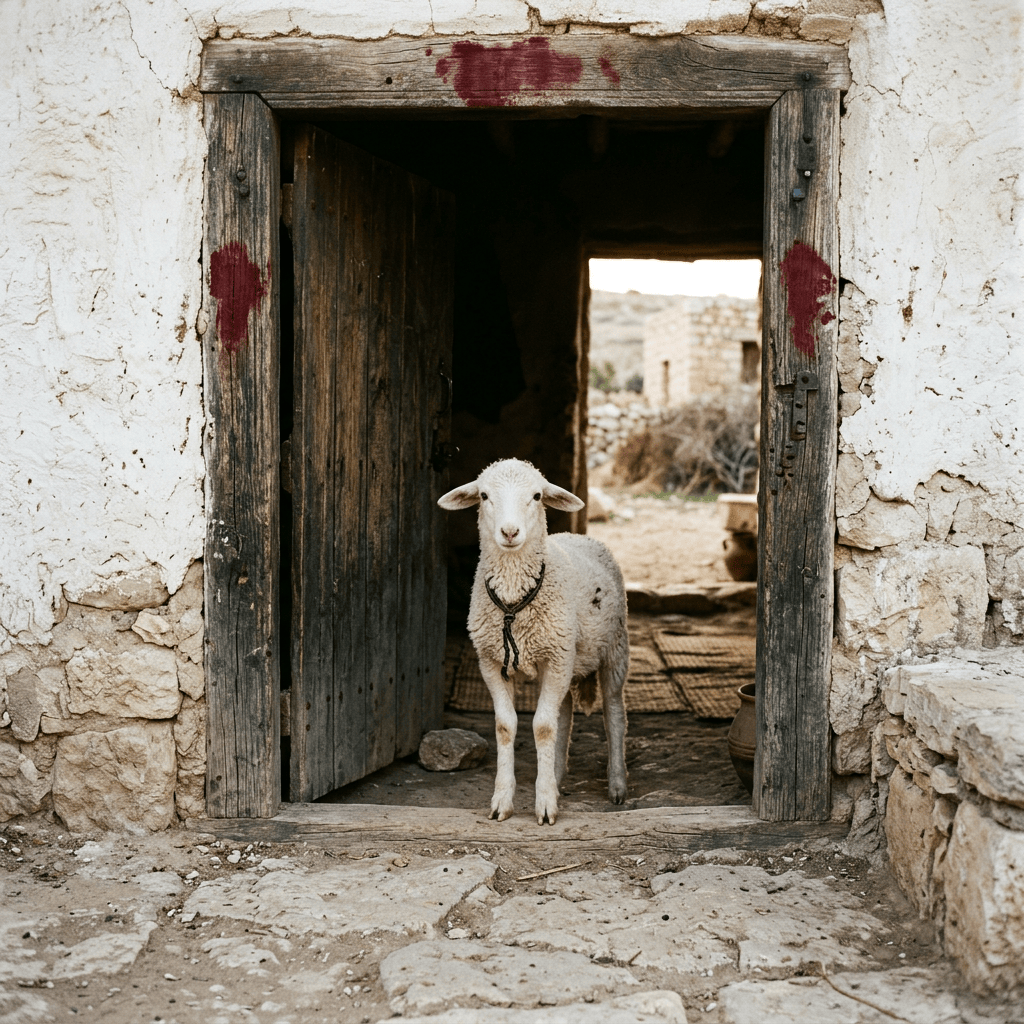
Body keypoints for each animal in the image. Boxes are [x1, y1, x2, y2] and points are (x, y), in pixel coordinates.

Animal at [438, 459, 629, 825]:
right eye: (484, 495)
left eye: (537, 496)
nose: (510, 533)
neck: (514, 601)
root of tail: (576, 535)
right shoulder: (491, 661)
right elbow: (506, 726)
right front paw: (503, 801)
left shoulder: (556, 659)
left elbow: (541, 727)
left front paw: (544, 806)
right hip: (563, 657)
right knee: (564, 713)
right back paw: (555, 776)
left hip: (614, 649)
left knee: (613, 712)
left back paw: (617, 784)